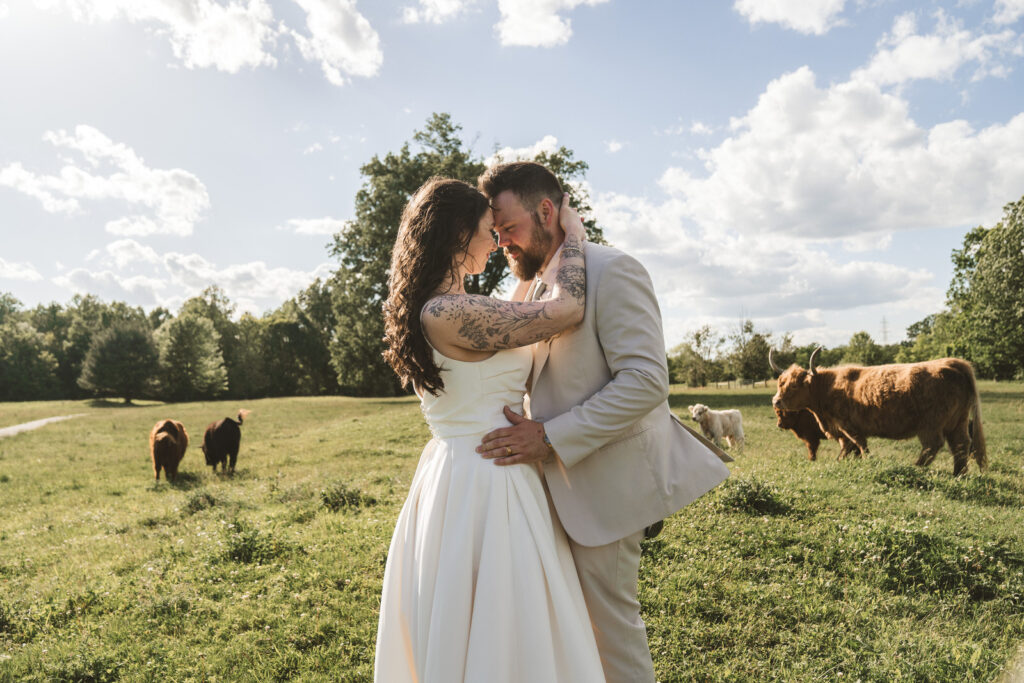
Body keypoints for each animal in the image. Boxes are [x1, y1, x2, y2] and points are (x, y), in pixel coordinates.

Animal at [770, 350, 987, 479]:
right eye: (780, 382)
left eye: (795, 385)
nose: (776, 401)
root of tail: (953, 363)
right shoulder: (842, 430)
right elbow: (849, 449)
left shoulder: (849, 426)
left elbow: (859, 446)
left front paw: (866, 463)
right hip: (958, 421)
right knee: (960, 445)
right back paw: (958, 474)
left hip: (930, 424)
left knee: (933, 446)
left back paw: (915, 468)